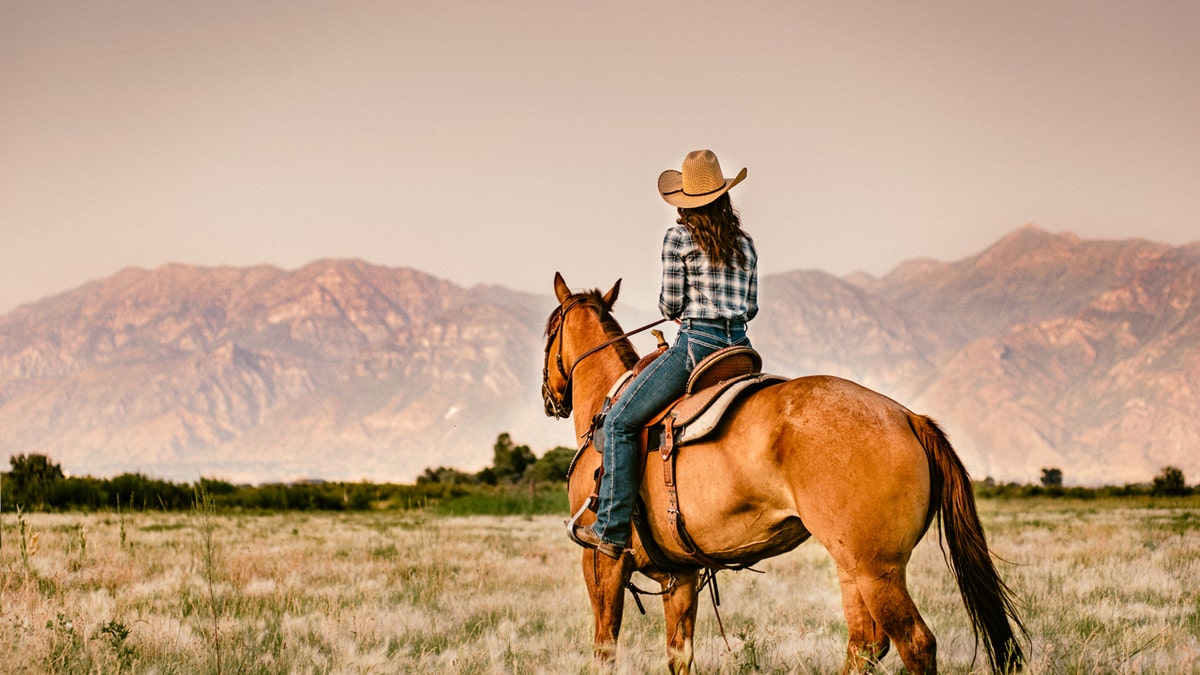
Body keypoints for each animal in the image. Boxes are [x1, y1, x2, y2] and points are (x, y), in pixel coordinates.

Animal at [542, 273, 1022, 672]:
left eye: (548, 331)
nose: (551, 399)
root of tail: (906, 416)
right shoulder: (681, 575)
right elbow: (679, 655)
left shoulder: (601, 561)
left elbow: (605, 649)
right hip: (852, 567)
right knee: (865, 644)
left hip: (877, 570)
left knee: (914, 643)